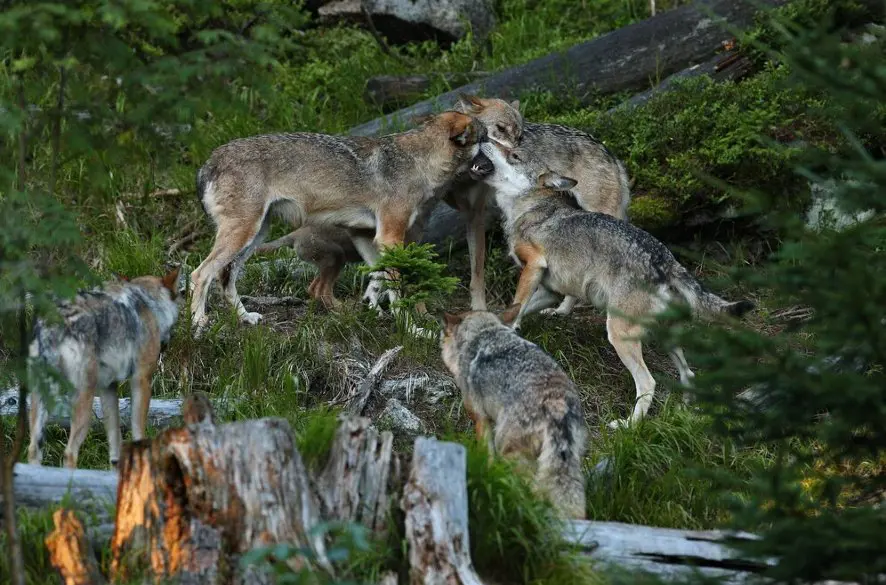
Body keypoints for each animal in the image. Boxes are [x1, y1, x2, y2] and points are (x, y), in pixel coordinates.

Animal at [27, 266, 181, 468]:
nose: (166, 344)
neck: (147, 302)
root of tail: (55, 322)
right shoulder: (141, 380)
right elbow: (138, 431)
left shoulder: (108, 387)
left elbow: (115, 442)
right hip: (84, 401)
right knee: (69, 453)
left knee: (33, 449)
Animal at [190, 108, 490, 328]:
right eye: (486, 140)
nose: (496, 164)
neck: (418, 163)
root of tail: (208, 163)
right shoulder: (390, 237)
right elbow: (397, 287)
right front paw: (411, 328)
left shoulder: (365, 235)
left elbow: (378, 278)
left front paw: (370, 308)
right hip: (243, 235)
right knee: (200, 274)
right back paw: (198, 323)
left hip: (254, 236)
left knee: (225, 277)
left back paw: (245, 318)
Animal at [450, 94, 632, 314]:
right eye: (500, 128)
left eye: (519, 137)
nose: (517, 153)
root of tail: (610, 154)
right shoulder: (471, 215)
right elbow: (476, 274)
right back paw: (562, 310)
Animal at [472, 143, 756, 426]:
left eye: (513, 154)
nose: (484, 138)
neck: (529, 206)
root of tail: (665, 261)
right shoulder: (551, 290)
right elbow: (516, 308)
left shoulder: (534, 266)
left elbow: (517, 305)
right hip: (665, 338)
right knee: (689, 375)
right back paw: (686, 411)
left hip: (619, 335)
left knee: (648, 383)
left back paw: (628, 425)